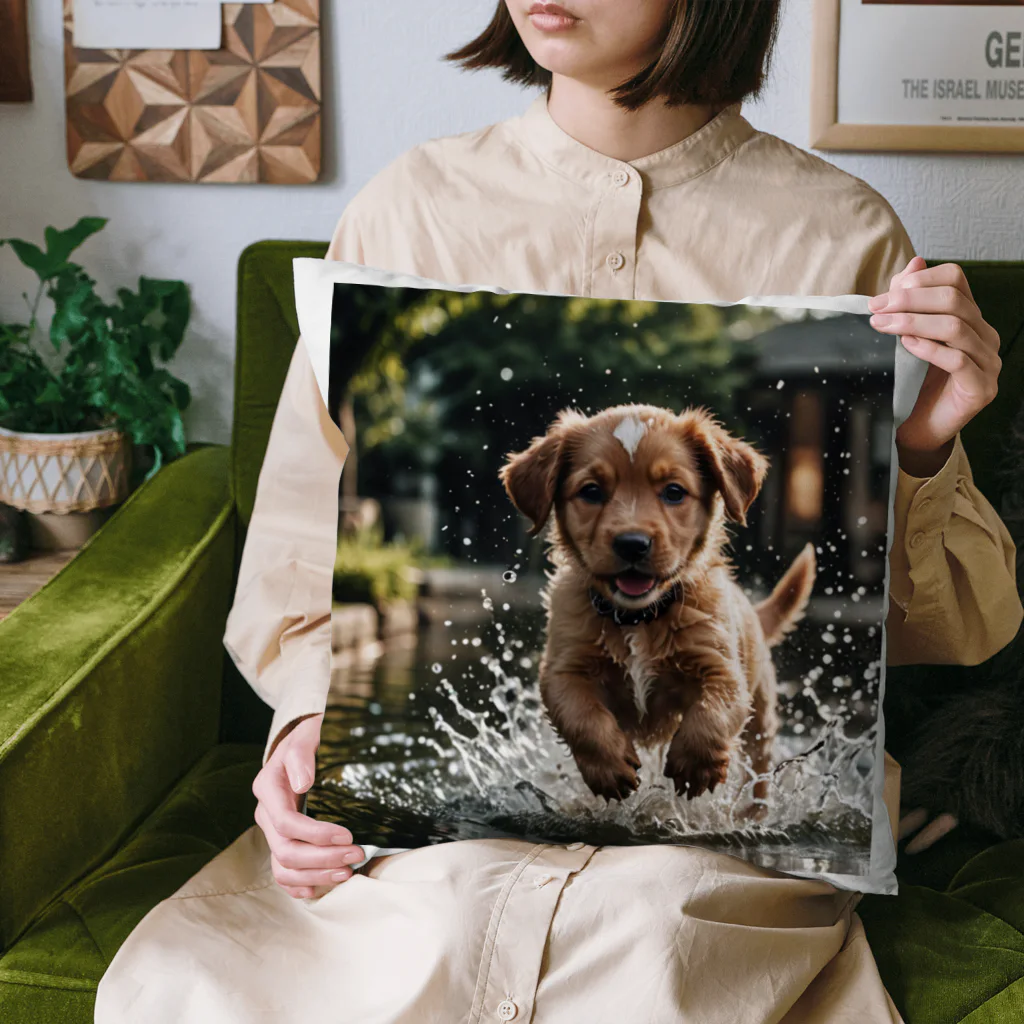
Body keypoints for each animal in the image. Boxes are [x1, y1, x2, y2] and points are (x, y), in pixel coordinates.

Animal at [497, 403, 815, 802]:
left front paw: (695, 766)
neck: (638, 618)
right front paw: (609, 767)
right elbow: (580, 716)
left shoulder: (722, 669)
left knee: (759, 774)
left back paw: (753, 808)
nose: (632, 543)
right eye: (591, 491)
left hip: (761, 723)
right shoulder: (562, 668)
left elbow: (713, 714)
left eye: (674, 492)